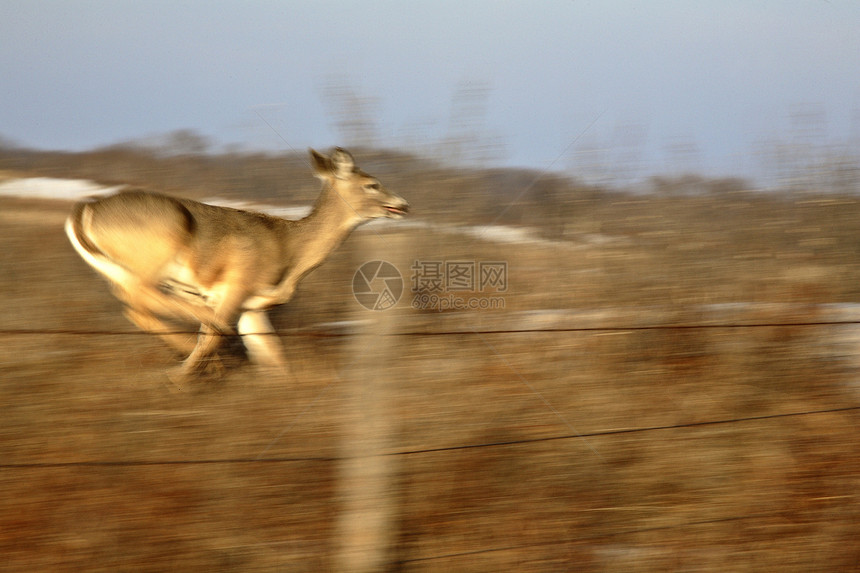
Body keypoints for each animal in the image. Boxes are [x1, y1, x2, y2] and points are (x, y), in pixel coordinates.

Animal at [65, 147, 408, 384]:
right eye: (372, 184)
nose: (403, 205)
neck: (290, 250)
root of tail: (85, 210)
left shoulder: (252, 306)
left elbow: (273, 355)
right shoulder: (238, 281)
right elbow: (217, 338)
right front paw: (178, 380)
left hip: (117, 270)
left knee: (135, 306)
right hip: (155, 250)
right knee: (146, 301)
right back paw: (194, 347)